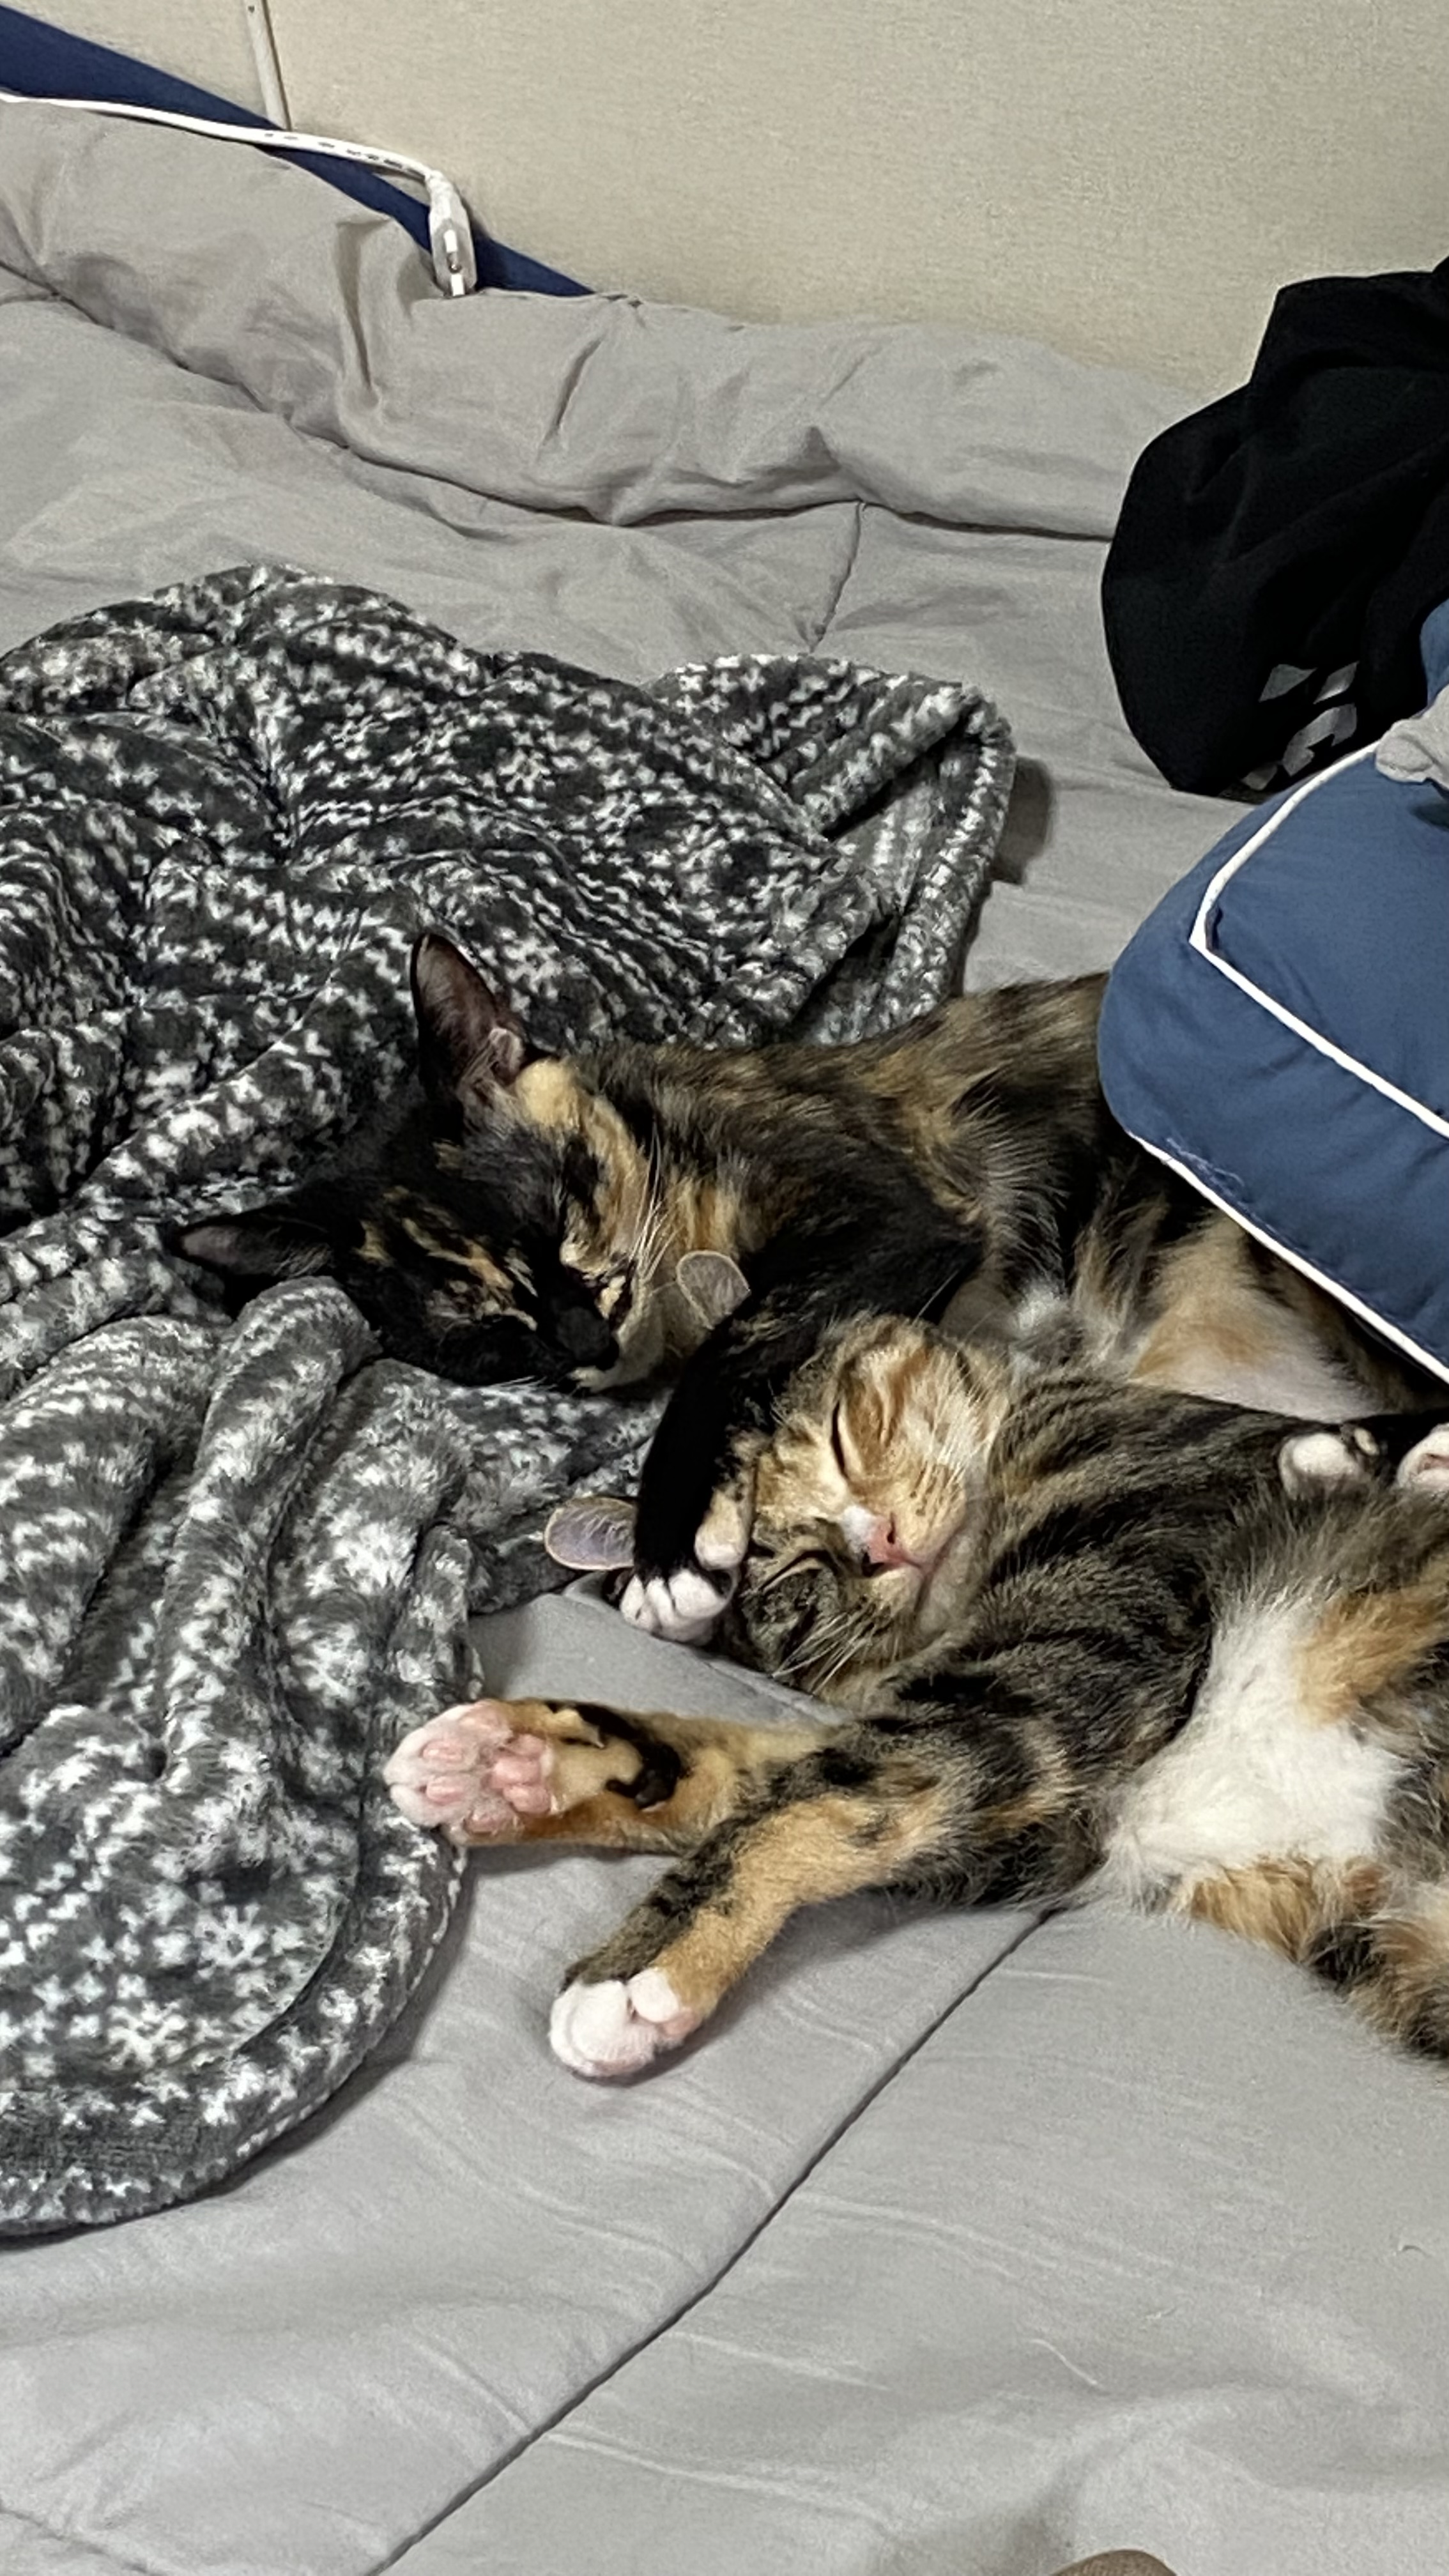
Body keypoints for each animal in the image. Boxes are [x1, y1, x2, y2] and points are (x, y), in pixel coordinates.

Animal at [179, 930, 1437, 1641]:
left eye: (559, 1220)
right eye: (486, 1344)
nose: (583, 1343)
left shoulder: (893, 1216)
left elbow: (735, 1340)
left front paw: (666, 1547)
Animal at [385, 1316, 1449, 2082]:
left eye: (846, 1436)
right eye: (786, 1575)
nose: (883, 1544)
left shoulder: (1067, 1657)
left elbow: (815, 1793)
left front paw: (640, 1973)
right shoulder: (1069, 1813)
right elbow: (764, 1771)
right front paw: (514, 1767)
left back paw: (1377, 1463)